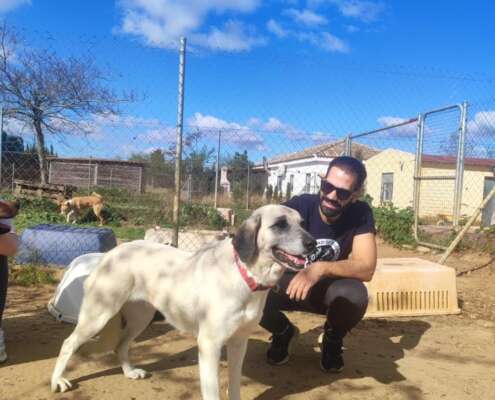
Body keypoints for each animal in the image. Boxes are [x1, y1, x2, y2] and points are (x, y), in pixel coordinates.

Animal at [50, 204, 316, 399]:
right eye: (279, 224)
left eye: (303, 224)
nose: (313, 243)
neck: (246, 274)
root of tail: (110, 254)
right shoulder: (209, 345)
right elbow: (213, 393)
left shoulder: (239, 342)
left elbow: (235, 385)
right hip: (98, 315)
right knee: (68, 343)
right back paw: (57, 381)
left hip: (140, 318)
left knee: (120, 344)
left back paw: (129, 372)